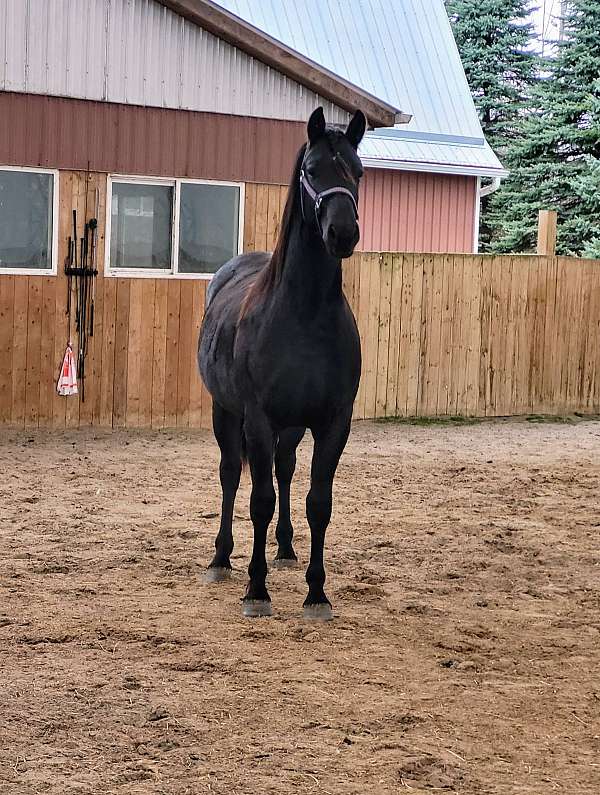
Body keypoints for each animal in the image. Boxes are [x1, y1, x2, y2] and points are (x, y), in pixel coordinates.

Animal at [199, 107, 366, 620]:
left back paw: (288, 549)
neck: (304, 314)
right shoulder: (257, 418)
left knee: (285, 468)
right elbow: (259, 500)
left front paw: (317, 593)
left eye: (358, 171)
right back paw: (220, 559)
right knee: (231, 474)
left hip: (291, 427)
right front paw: (256, 590)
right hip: (225, 411)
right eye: (312, 170)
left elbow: (318, 502)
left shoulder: (333, 422)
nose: (343, 233)